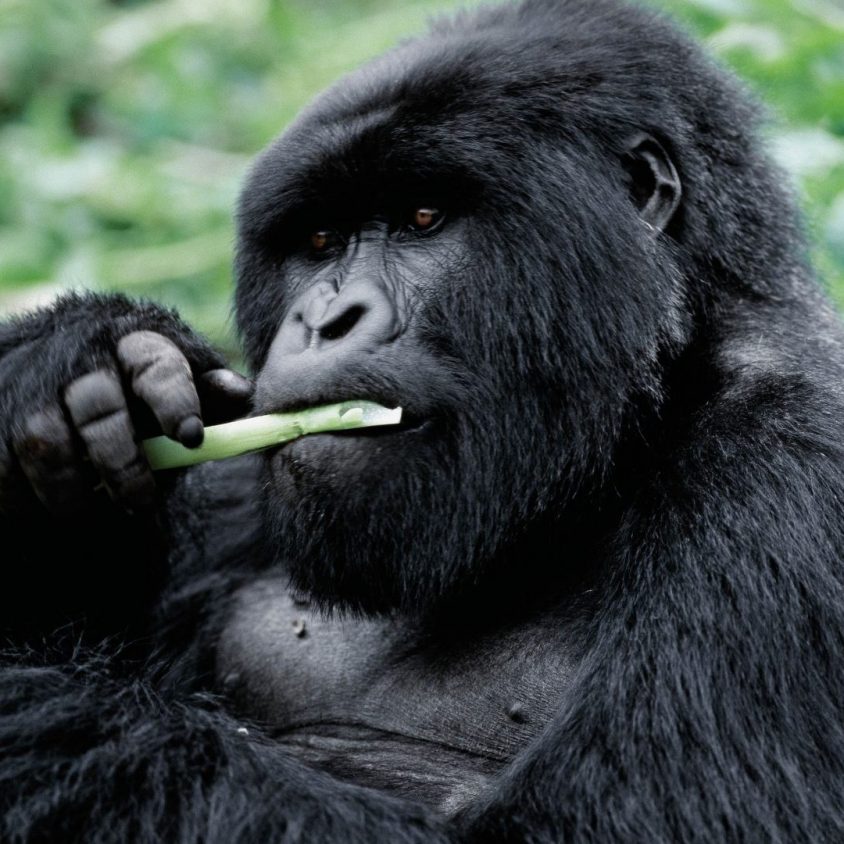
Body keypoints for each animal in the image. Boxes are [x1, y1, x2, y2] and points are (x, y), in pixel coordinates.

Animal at [1, 0, 844, 840]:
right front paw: (70, 367)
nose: (324, 322)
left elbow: (575, 823)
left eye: (423, 218)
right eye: (320, 240)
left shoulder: (793, 465)